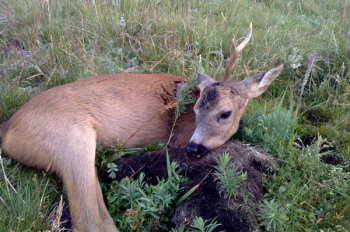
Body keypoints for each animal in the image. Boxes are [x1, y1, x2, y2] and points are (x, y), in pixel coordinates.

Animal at [0, 24, 284, 232]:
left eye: (225, 113)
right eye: (195, 110)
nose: (193, 148)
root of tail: (7, 128)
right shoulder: (179, 136)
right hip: (69, 138)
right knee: (88, 220)